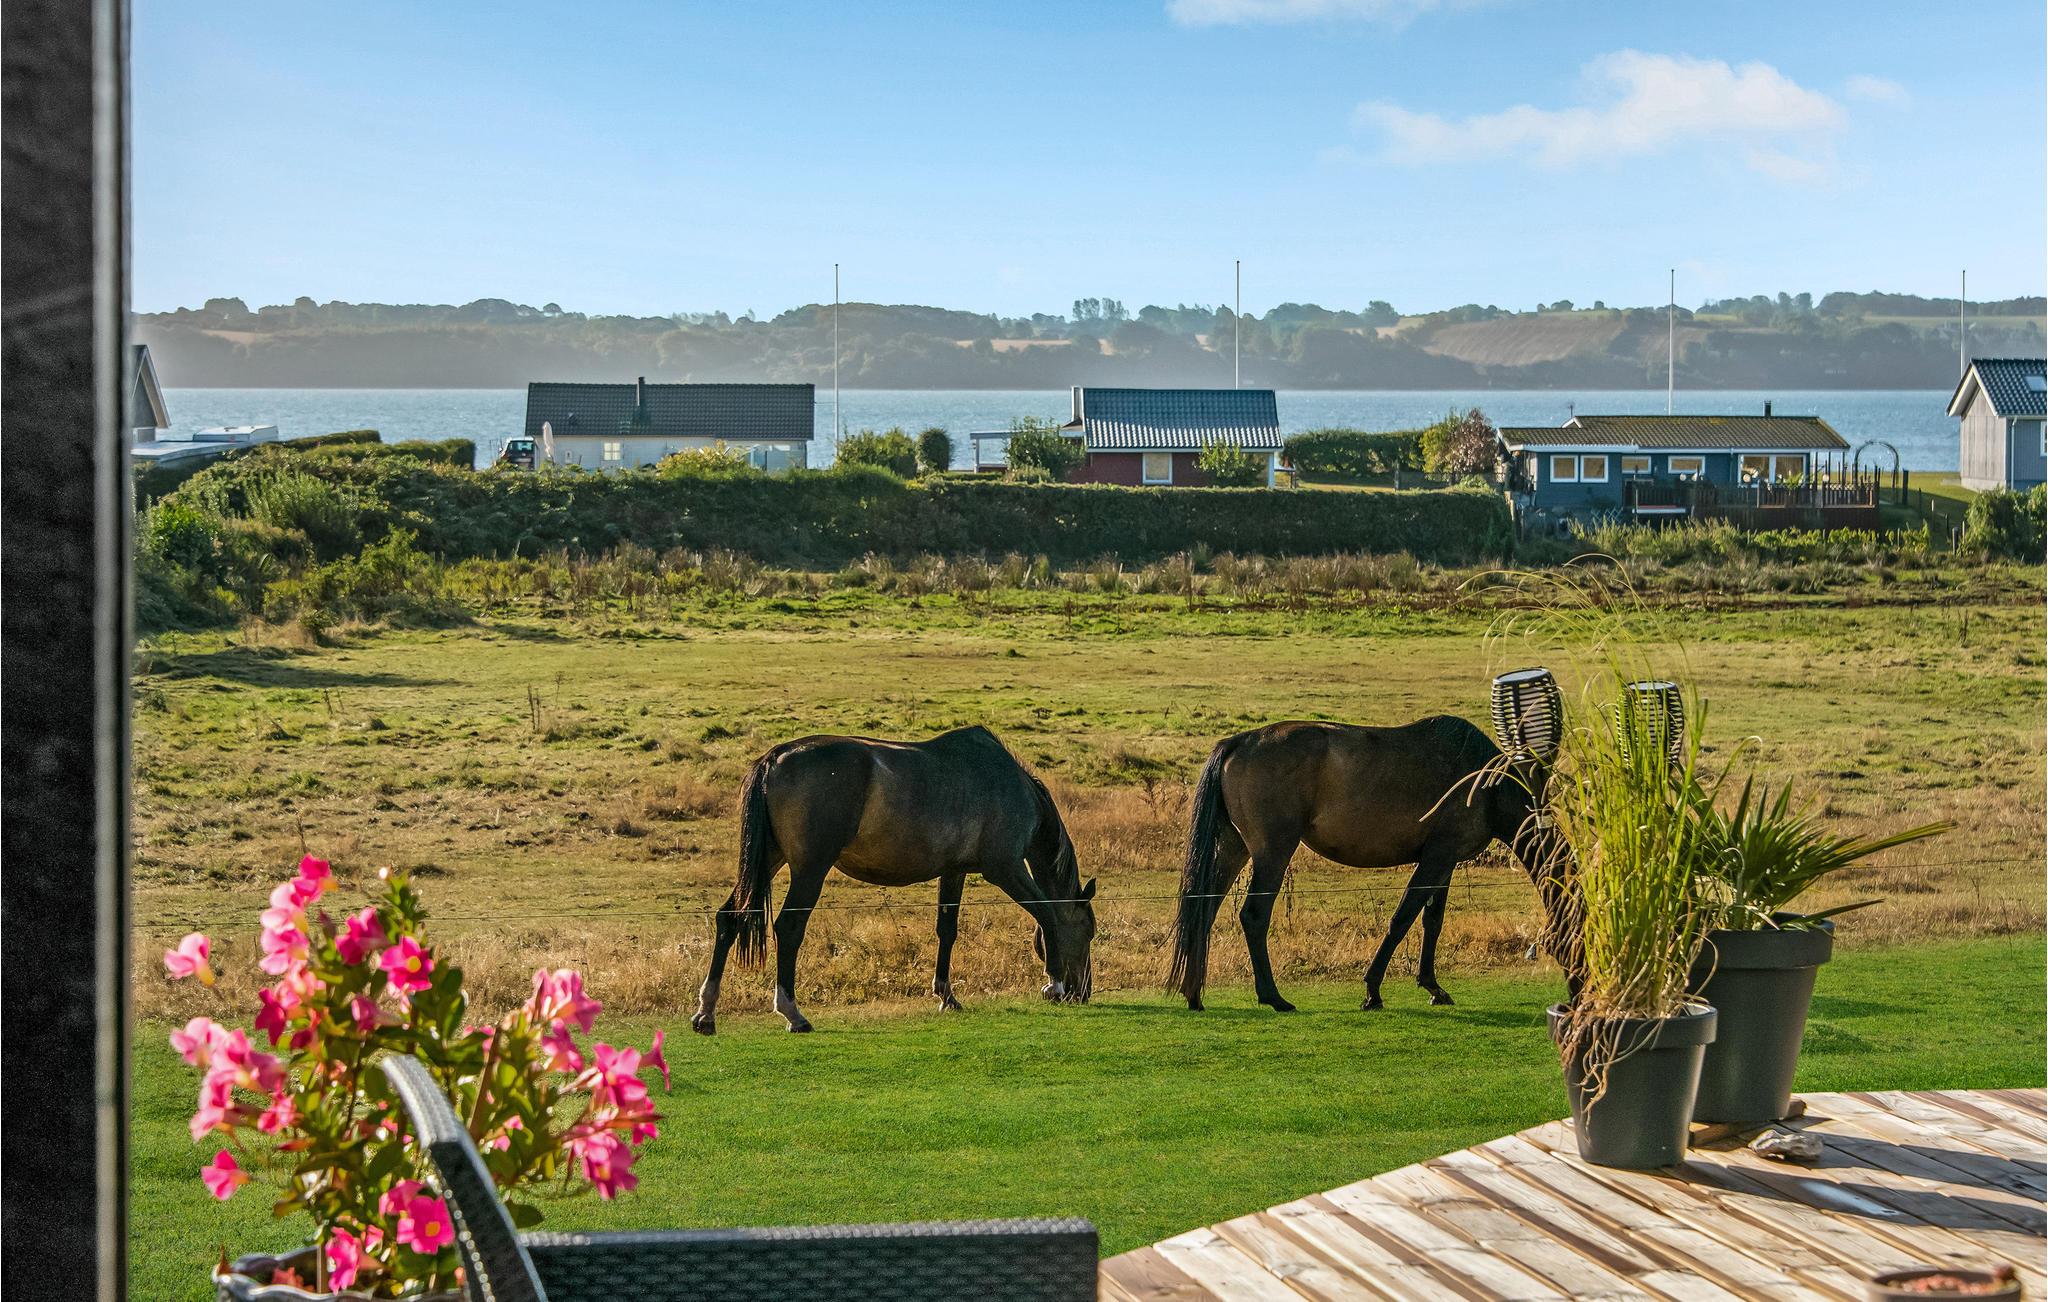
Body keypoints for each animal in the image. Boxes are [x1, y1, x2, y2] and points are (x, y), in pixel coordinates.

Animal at [691, 725, 1097, 1034]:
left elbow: (947, 930)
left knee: (729, 918)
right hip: (810, 868)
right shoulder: (1006, 869)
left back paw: (706, 1012)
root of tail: (774, 758)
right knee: (789, 928)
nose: (1084, 991)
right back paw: (793, 1013)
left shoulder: (954, 871)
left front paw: (946, 995)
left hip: (768, 861)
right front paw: (1053, 983)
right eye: (1089, 931)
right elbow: (1047, 914)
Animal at [1168, 715, 1575, 1013]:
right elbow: (1402, 919)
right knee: (1253, 915)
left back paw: (1193, 993)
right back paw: (1273, 997)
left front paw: (1433, 987)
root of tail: (1239, 742)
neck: (1485, 783)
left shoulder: (1445, 863)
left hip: (1233, 848)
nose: (1574, 997)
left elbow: (1432, 922)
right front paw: (1373, 991)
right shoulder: (1436, 858)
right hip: (1273, 853)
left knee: (1204, 910)